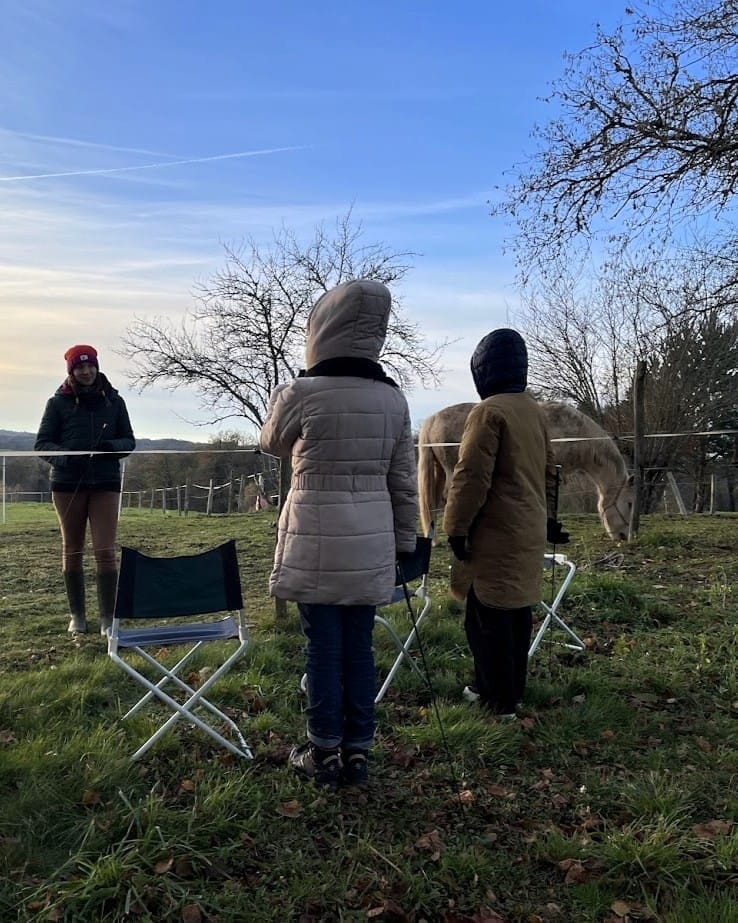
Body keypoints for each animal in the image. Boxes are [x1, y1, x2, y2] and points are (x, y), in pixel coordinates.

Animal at [418, 400, 633, 542]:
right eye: (630, 504)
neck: (573, 432)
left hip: (439, 470)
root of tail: (432, 419)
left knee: (433, 501)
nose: (624, 536)